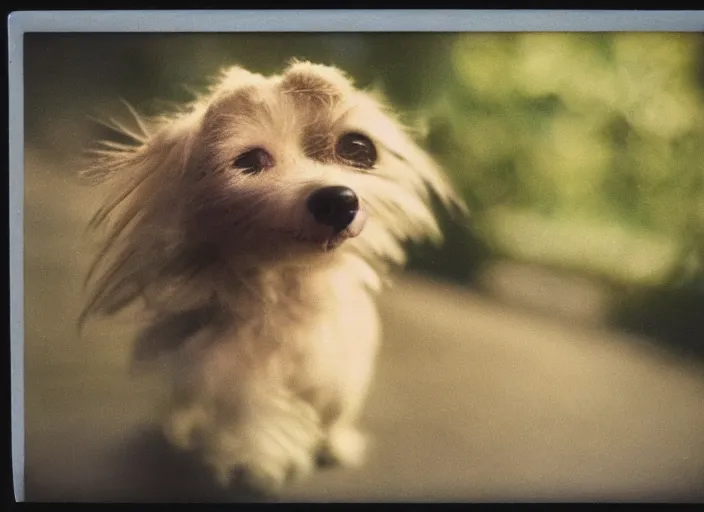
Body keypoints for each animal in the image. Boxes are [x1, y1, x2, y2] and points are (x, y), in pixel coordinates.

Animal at [80, 61, 464, 496]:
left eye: (357, 148)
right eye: (249, 161)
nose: (338, 201)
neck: (294, 287)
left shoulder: (341, 366)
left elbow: (335, 407)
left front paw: (335, 442)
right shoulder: (226, 365)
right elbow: (250, 409)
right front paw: (255, 457)